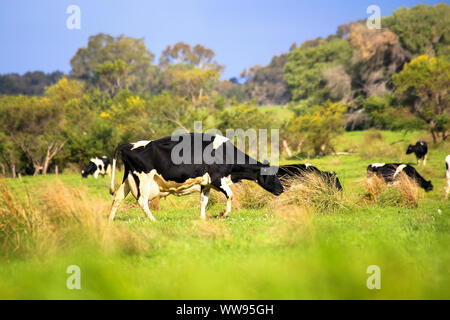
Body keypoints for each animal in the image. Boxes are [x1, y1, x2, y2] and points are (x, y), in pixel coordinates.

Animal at [108, 132, 284, 220]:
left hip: (127, 179)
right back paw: (153, 220)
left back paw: (110, 221)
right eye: (272, 175)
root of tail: (129, 145)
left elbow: (203, 201)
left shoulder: (206, 184)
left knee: (117, 198)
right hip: (144, 178)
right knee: (142, 201)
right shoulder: (217, 179)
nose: (282, 189)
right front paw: (224, 214)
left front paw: (203, 218)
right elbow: (231, 195)